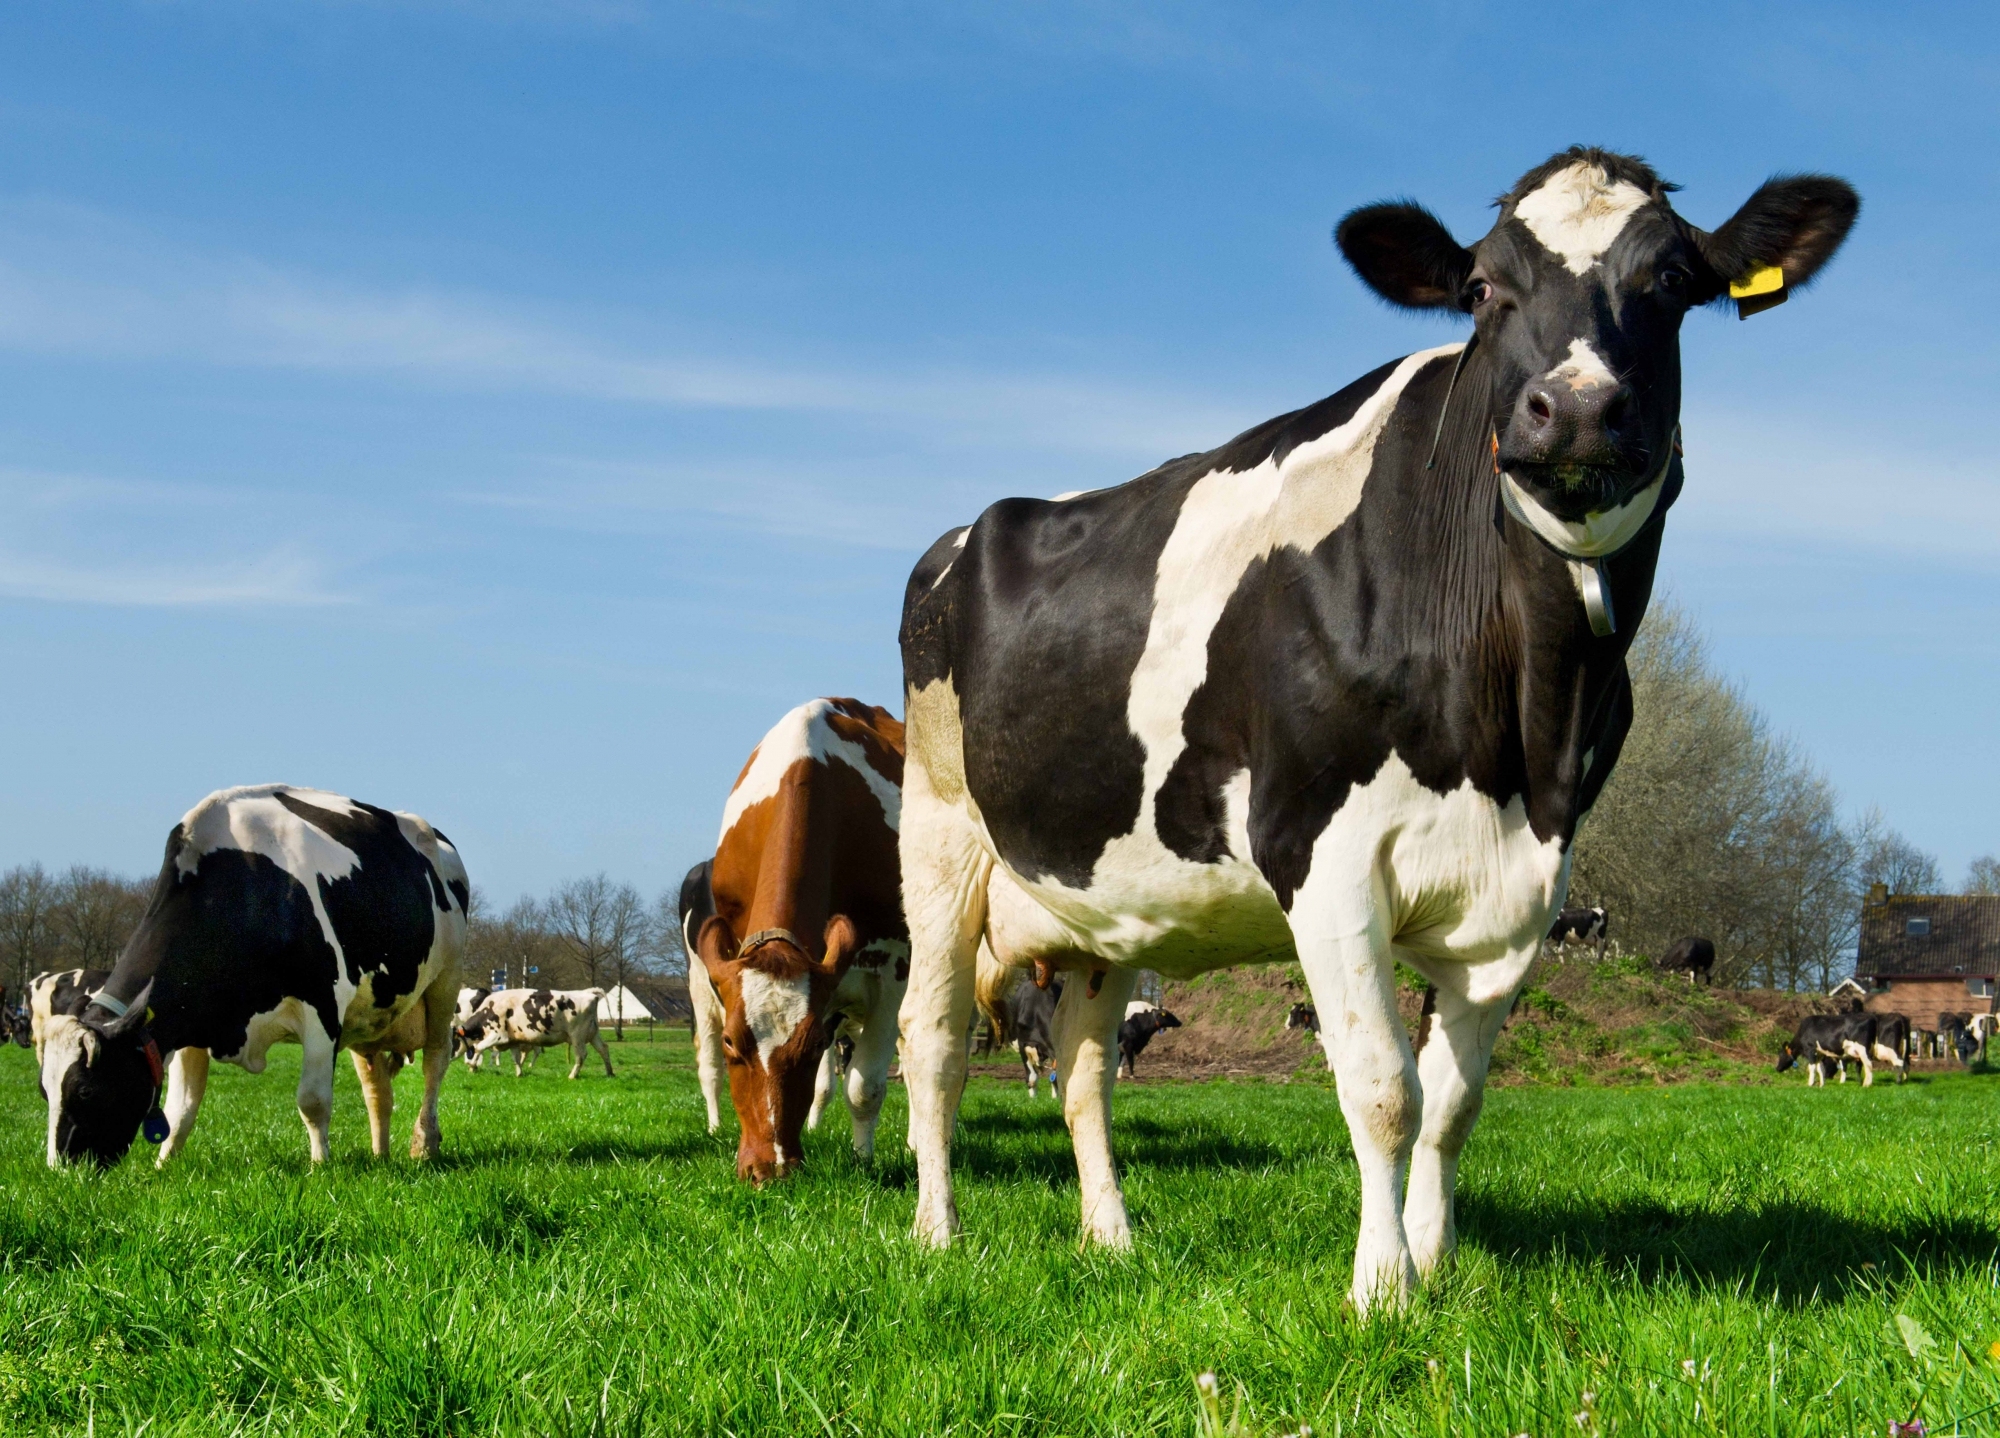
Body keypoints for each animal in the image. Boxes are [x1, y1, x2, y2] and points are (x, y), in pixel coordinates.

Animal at [39, 785, 467, 1169]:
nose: (62, 1170)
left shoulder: (323, 1006)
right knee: (377, 1089)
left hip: (445, 984)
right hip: (371, 1012)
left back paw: (425, 1145)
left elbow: (312, 1100)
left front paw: (321, 1167)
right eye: (44, 1092)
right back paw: (381, 1155)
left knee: (434, 1062)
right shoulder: (190, 1020)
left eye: (85, 1090)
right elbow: (181, 1109)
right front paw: (162, 1166)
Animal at [460, 988, 612, 1078]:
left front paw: (472, 1067)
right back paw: (610, 1073)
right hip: (593, 1034)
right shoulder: (513, 1040)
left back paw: (572, 1076)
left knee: (581, 1055)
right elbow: (515, 1058)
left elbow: (479, 1048)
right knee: (604, 1049)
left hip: (577, 1036)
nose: (464, 1063)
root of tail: (589, 993)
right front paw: (519, 1073)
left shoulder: (499, 1036)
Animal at [688, 698, 909, 1184]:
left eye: (810, 1047)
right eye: (731, 1042)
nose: (771, 1169)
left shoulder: (892, 970)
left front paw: (863, 1162)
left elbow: (865, 1086)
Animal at [892, 146, 1858, 1312]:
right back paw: (937, 1234)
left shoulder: (1523, 885)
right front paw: (1383, 1288)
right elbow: (1383, 1088)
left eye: (1674, 282)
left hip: (1105, 896)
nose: (1578, 409)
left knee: (1083, 1064)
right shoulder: (1324, 852)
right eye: (1483, 289)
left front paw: (1436, 1262)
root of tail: (973, 528)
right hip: (940, 838)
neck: (1523, 722)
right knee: (933, 1040)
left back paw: (1110, 1238)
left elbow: (1453, 1101)